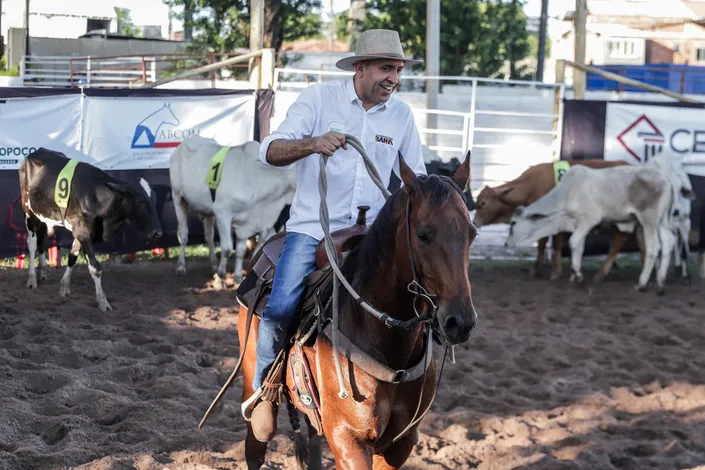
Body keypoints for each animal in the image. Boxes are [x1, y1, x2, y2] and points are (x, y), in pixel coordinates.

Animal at [19, 149, 164, 310]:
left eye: (154, 199)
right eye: (140, 200)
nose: (158, 232)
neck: (96, 195)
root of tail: (37, 151)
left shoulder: (80, 232)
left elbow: (73, 257)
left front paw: (64, 287)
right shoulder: (83, 232)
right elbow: (95, 268)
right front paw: (103, 302)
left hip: (44, 216)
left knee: (42, 239)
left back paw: (43, 272)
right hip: (28, 211)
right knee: (32, 244)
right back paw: (32, 279)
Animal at [169, 134, 296, 284]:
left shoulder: (247, 221)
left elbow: (240, 250)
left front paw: (237, 276)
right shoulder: (222, 213)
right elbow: (227, 248)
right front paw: (221, 275)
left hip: (207, 210)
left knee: (209, 236)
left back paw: (213, 263)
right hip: (178, 197)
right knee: (183, 235)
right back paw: (181, 267)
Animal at [238, 153, 478, 466]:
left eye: (472, 234)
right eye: (423, 234)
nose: (461, 322)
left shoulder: (399, 444)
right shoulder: (349, 440)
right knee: (256, 443)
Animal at [506, 156, 692, 292]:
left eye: (513, 223)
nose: (506, 243)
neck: (567, 192)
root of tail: (667, 180)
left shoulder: (589, 220)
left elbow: (573, 242)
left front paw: (578, 276)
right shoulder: (578, 223)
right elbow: (579, 247)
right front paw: (574, 275)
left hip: (649, 222)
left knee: (654, 247)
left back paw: (642, 283)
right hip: (663, 221)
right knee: (668, 243)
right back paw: (660, 282)